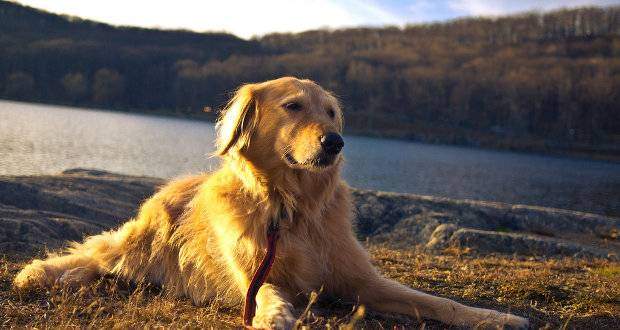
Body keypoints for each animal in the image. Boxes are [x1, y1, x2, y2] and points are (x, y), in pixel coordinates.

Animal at [14, 77, 528, 328]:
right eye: (293, 106)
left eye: (331, 112)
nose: (336, 141)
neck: (292, 207)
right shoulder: (254, 271)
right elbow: (266, 293)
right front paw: (274, 315)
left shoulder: (362, 281)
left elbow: (436, 302)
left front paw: (495, 318)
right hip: (138, 244)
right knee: (93, 252)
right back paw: (40, 274)